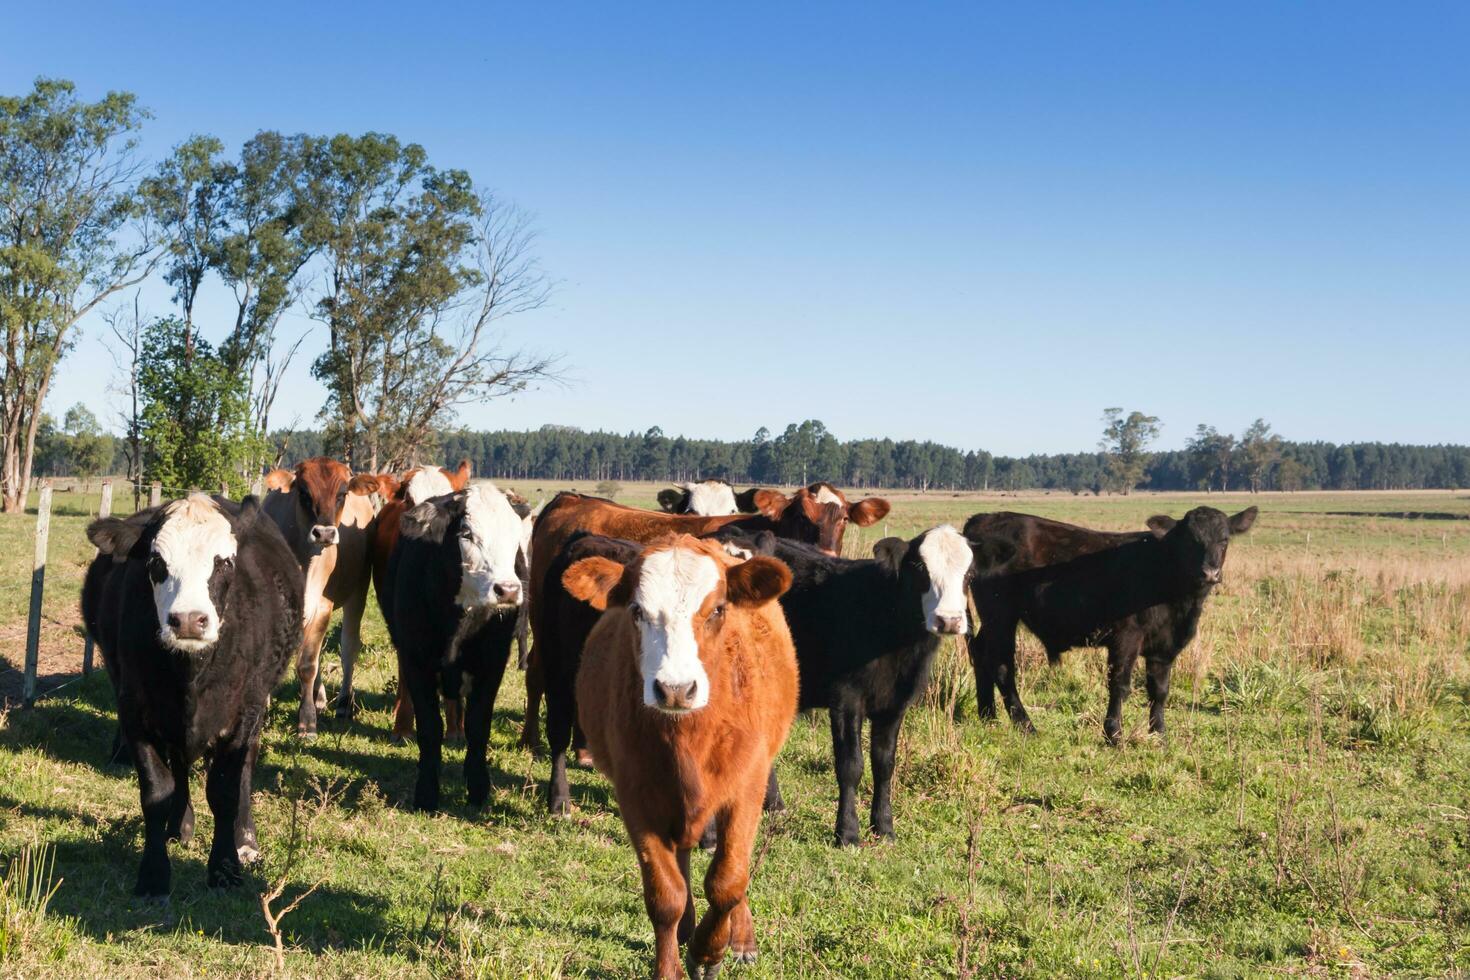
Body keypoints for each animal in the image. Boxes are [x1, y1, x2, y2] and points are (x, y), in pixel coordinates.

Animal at [80, 493, 304, 899]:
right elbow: (157, 792)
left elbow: (226, 790)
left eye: (224, 561)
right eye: (156, 563)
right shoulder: (135, 711)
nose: (188, 620)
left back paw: (245, 840)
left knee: (246, 769)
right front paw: (153, 875)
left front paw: (226, 869)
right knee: (181, 765)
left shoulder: (242, 714)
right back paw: (180, 825)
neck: (191, 676)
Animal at [264, 455, 379, 731]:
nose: (324, 533)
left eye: (342, 493)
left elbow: (307, 664)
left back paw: (343, 704)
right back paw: (319, 697)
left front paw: (306, 721)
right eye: (304, 492)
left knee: (348, 647)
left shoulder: (322, 605)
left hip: (359, 590)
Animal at [385, 481, 535, 811]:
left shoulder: (493, 665)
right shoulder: (416, 661)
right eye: (466, 534)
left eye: (513, 537)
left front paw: (478, 788)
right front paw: (427, 792)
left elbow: (479, 726)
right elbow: (429, 727)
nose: (508, 590)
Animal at [964, 505, 1264, 743]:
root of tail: (984, 518)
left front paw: (1159, 734)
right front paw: (1114, 734)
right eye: (1191, 540)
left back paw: (988, 716)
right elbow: (1120, 684)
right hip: (1000, 616)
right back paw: (1026, 725)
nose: (1210, 572)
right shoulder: (1126, 637)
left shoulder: (1164, 645)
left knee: (981, 654)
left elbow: (1159, 689)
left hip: (993, 620)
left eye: (1224, 540)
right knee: (1002, 665)